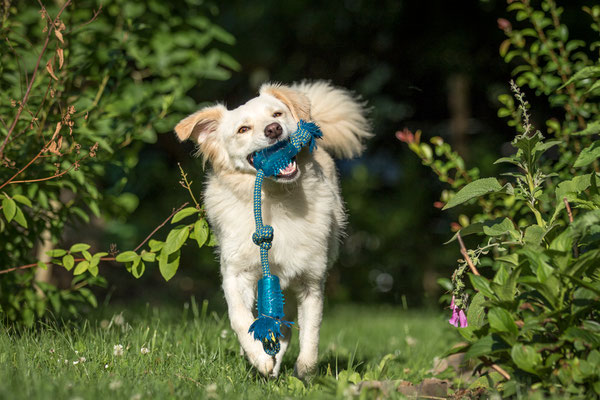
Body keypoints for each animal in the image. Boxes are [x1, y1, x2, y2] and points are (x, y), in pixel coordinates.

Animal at [173, 82, 370, 378]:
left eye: (277, 114)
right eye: (243, 129)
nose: (274, 130)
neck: (275, 198)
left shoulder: (311, 280)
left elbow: (311, 333)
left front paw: (303, 372)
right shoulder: (236, 274)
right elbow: (240, 318)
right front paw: (258, 357)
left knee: (286, 327)